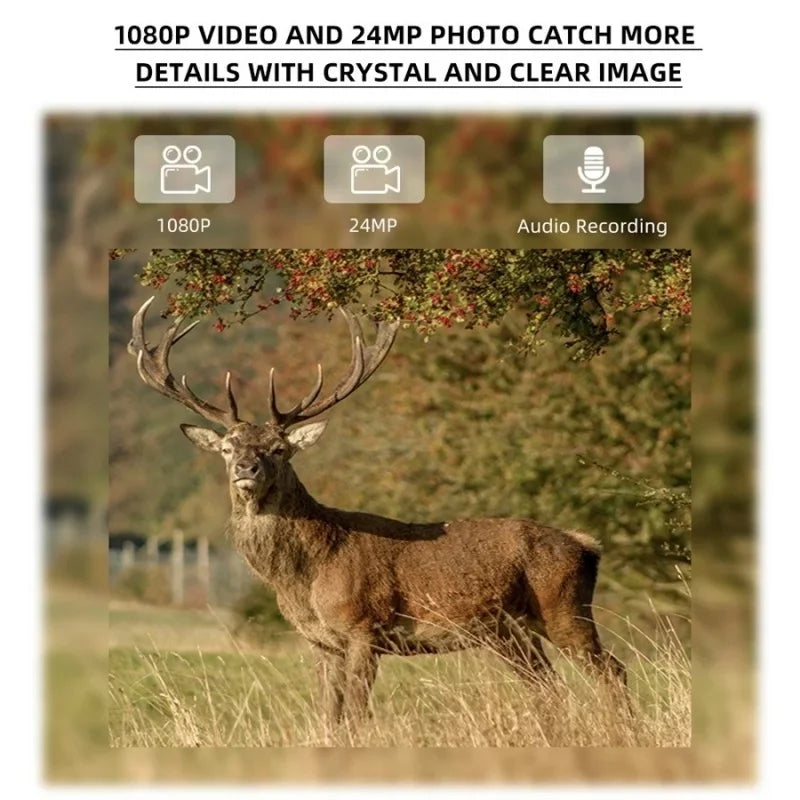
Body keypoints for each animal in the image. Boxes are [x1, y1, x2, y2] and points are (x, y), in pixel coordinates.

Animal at [129, 296, 627, 727]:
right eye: (227, 447)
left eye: (279, 449)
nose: (246, 468)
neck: (305, 577)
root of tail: (586, 544)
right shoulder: (321, 643)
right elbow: (328, 716)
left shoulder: (363, 628)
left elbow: (356, 715)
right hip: (509, 631)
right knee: (549, 687)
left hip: (564, 608)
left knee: (612, 672)